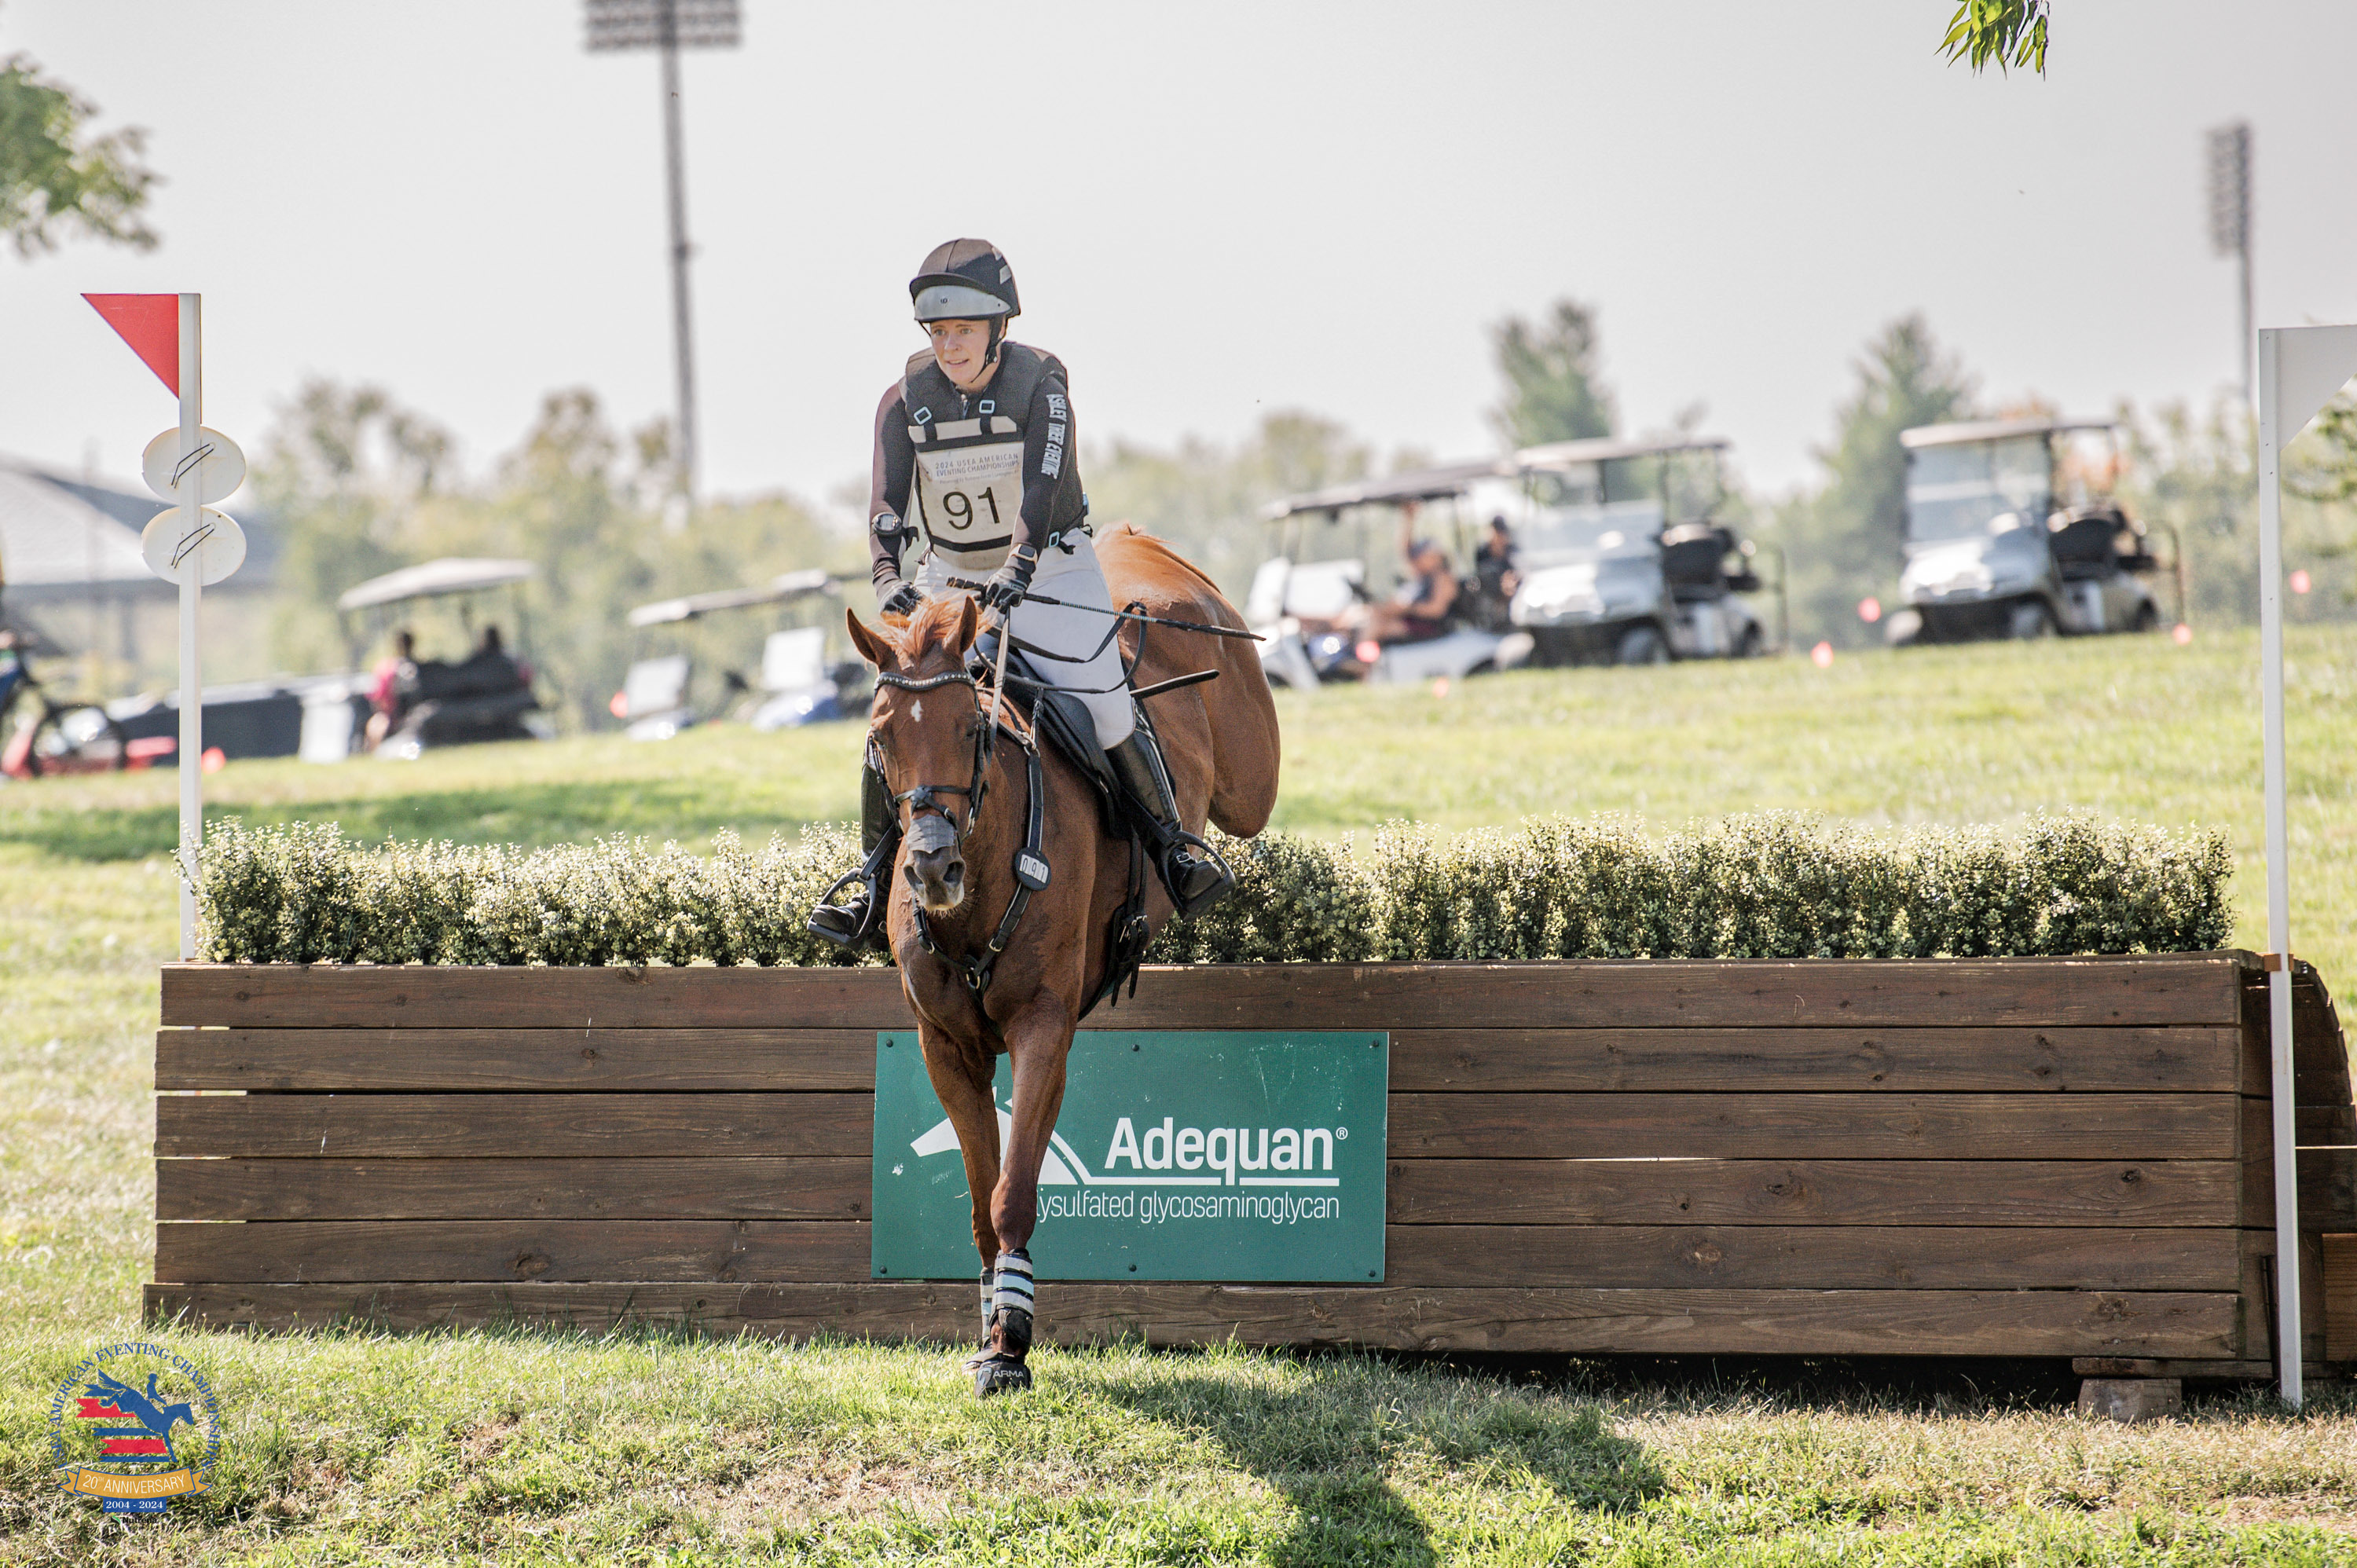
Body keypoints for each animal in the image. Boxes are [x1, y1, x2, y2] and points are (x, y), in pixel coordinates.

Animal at [842, 523, 1281, 1395]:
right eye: (879, 741)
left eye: (972, 731)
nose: (932, 868)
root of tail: (1133, 543)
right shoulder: (947, 1047)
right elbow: (983, 1200)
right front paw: (991, 1326)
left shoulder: (1042, 1028)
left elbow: (1013, 1194)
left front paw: (1011, 1342)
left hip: (1250, 778)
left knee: (1250, 797)